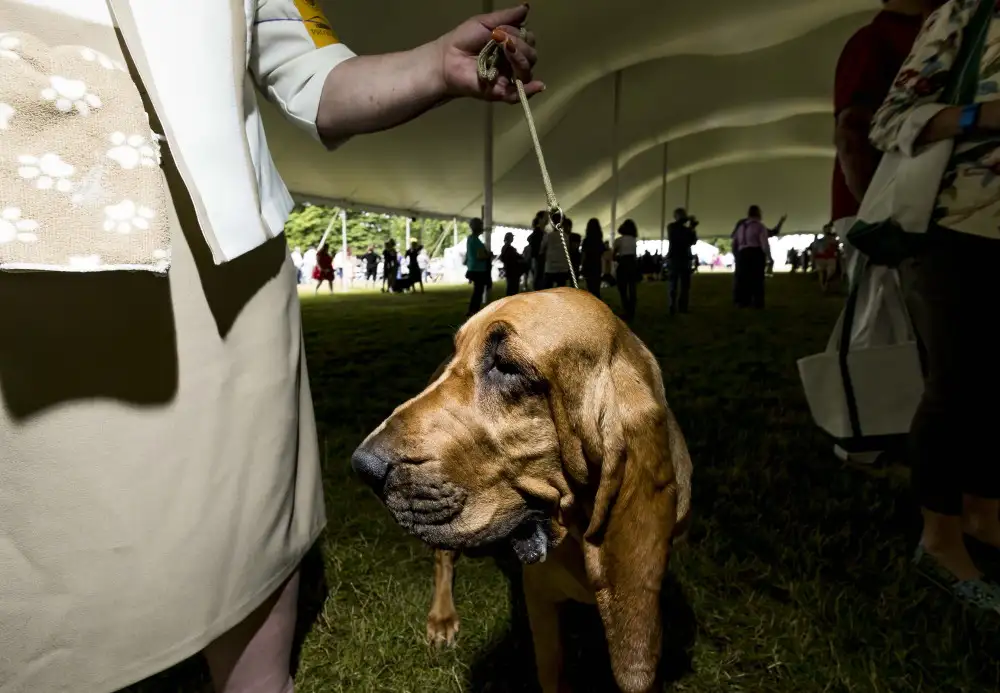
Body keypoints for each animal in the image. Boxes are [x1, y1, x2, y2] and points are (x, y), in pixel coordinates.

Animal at [354, 286, 696, 692]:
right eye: (460, 350)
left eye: (507, 367)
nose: (362, 466)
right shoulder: (541, 600)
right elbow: (552, 670)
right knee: (443, 558)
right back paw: (442, 617)